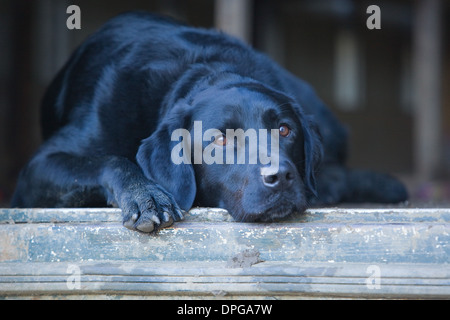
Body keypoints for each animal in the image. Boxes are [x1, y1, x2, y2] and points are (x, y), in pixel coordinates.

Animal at [11, 11, 408, 232]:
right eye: (219, 139)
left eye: (285, 129)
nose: (280, 177)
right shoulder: (33, 173)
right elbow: (111, 160)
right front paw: (146, 194)